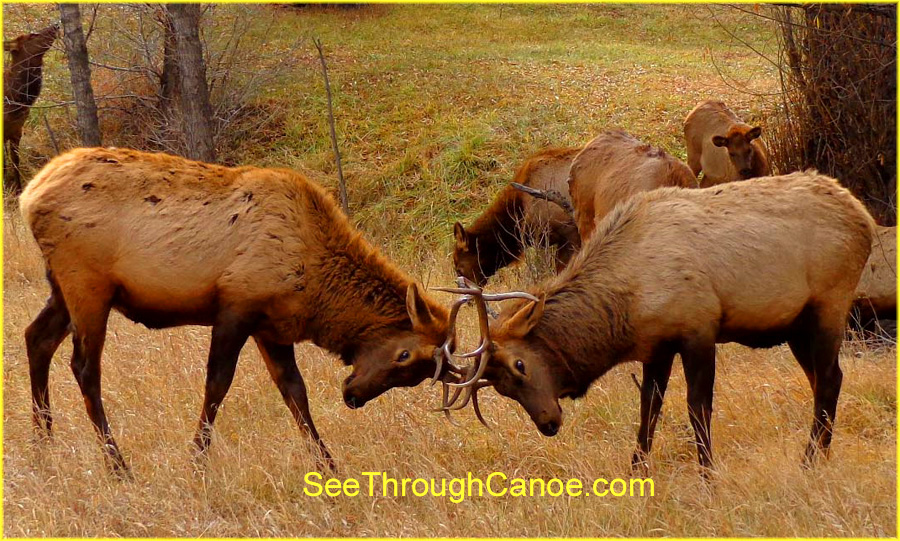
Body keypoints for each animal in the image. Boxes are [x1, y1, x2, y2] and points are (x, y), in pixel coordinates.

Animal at [20, 147, 460, 475]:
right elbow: (217, 384)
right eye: (404, 355)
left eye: (416, 376)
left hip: (62, 287)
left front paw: (328, 466)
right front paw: (196, 461)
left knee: (36, 338)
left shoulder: (272, 326)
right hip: (87, 283)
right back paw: (116, 465)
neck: (316, 282)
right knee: (83, 366)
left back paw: (43, 446)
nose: (353, 396)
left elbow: (295, 392)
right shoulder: (236, 305)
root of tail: (28, 196)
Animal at [437, 171, 875, 473]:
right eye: (503, 389)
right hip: (797, 325)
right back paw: (819, 455)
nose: (548, 422)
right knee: (821, 381)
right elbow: (648, 409)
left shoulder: (699, 328)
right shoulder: (657, 346)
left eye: (521, 365)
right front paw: (637, 471)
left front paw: (707, 474)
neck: (628, 302)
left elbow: (698, 409)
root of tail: (864, 217)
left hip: (830, 304)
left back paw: (810, 460)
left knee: (831, 378)